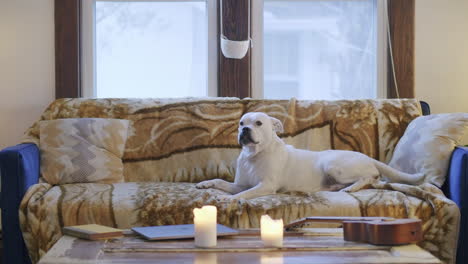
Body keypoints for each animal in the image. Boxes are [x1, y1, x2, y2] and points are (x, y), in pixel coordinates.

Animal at [196, 112, 426, 200]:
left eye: (258, 123)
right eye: (241, 123)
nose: (244, 130)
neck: (254, 155)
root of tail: (367, 157)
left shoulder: (265, 186)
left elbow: (243, 194)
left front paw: (228, 199)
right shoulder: (241, 184)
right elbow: (221, 182)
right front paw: (206, 183)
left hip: (333, 166)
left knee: (370, 177)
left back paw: (352, 187)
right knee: (375, 180)